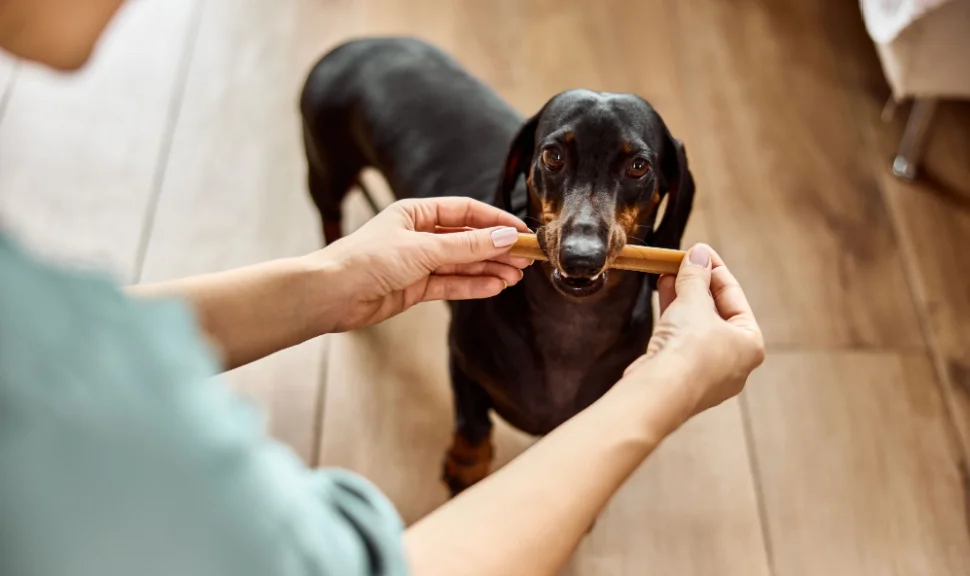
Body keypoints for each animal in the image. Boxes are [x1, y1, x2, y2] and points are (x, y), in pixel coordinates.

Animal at [298, 37, 692, 496]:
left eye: (638, 166)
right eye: (552, 155)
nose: (580, 255)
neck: (571, 325)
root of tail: (357, 45)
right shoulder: (460, 360)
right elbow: (472, 424)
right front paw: (466, 466)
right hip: (326, 169)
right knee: (328, 213)